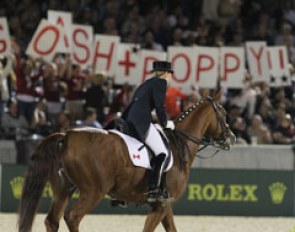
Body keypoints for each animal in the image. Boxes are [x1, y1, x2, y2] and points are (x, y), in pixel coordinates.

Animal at [17, 88, 236, 230]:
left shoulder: (165, 205)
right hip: (93, 191)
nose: (232, 138)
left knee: (52, 221)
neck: (179, 144)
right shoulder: (161, 206)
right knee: (72, 217)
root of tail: (66, 135)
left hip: (64, 188)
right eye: (224, 113)